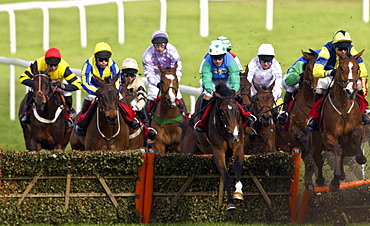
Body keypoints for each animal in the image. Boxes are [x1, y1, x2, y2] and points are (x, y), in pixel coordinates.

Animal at [306, 50, 368, 191]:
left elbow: (356, 134)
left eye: (358, 68)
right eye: (341, 68)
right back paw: (323, 180)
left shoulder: (359, 128)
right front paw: (337, 175)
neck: (343, 107)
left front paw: (361, 157)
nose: (350, 91)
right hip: (315, 145)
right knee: (319, 160)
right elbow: (338, 150)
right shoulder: (328, 136)